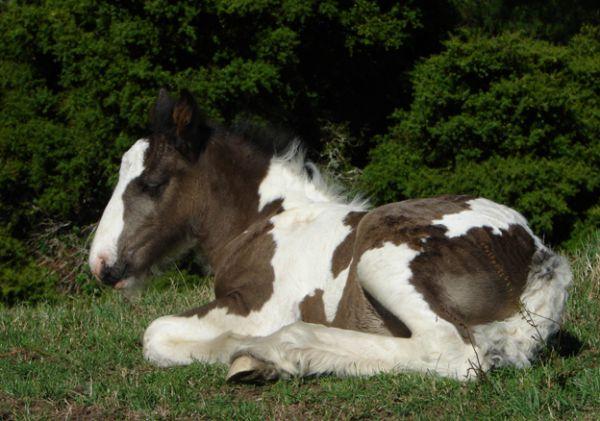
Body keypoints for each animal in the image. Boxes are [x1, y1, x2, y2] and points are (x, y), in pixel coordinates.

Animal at [88, 88, 572, 380]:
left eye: (152, 184)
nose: (101, 264)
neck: (265, 220)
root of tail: (533, 253)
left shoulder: (254, 307)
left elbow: (156, 334)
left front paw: (245, 352)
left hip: (380, 259)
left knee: (452, 351)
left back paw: (283, 350)